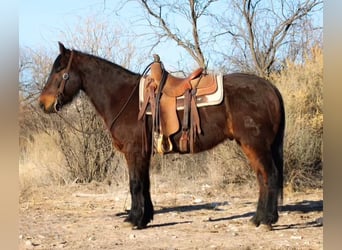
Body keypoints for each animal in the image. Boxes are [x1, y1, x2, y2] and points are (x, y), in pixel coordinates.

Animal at [39, 42, 286, 229]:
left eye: (60, 71)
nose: (43, 104)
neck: (124, 97)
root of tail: (270, 88)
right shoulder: (144, 152)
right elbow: (145, 184)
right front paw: (144, 217)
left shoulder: (134, 151)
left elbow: (135, 184)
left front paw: (135, 220)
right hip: (252, 145)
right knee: (263, 177)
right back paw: (259, 218)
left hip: (255, 145)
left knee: (269, 175)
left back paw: (266, 220)